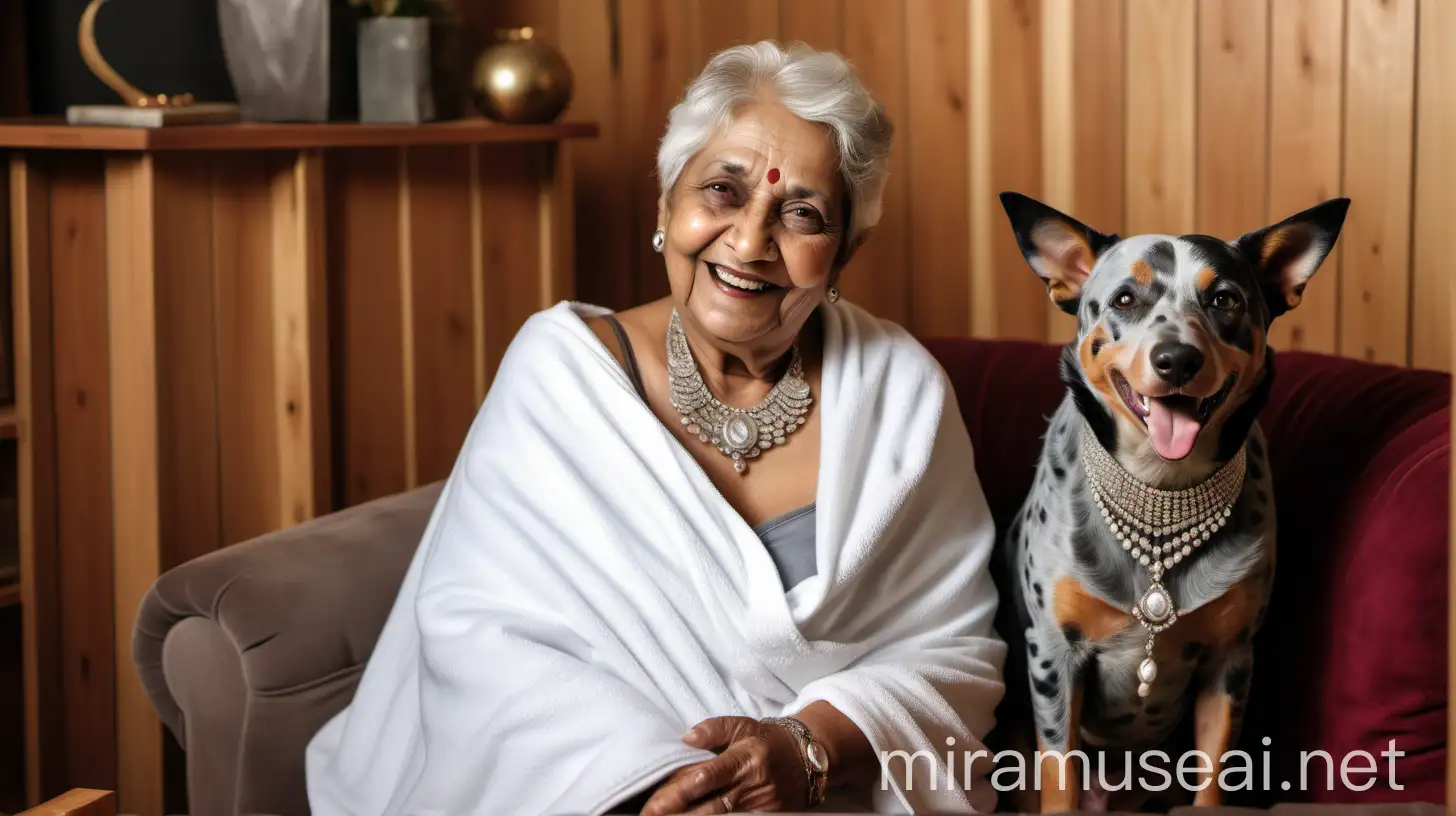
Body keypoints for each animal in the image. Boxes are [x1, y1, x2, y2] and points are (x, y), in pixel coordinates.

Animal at [990, 190, 1351, 810]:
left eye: (1225, 298)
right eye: (1125, 299)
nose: (1177, 359)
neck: (1160, 488)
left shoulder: (1230, 661)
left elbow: (1214, 778)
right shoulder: (1054, 658)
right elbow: (1059, 775)